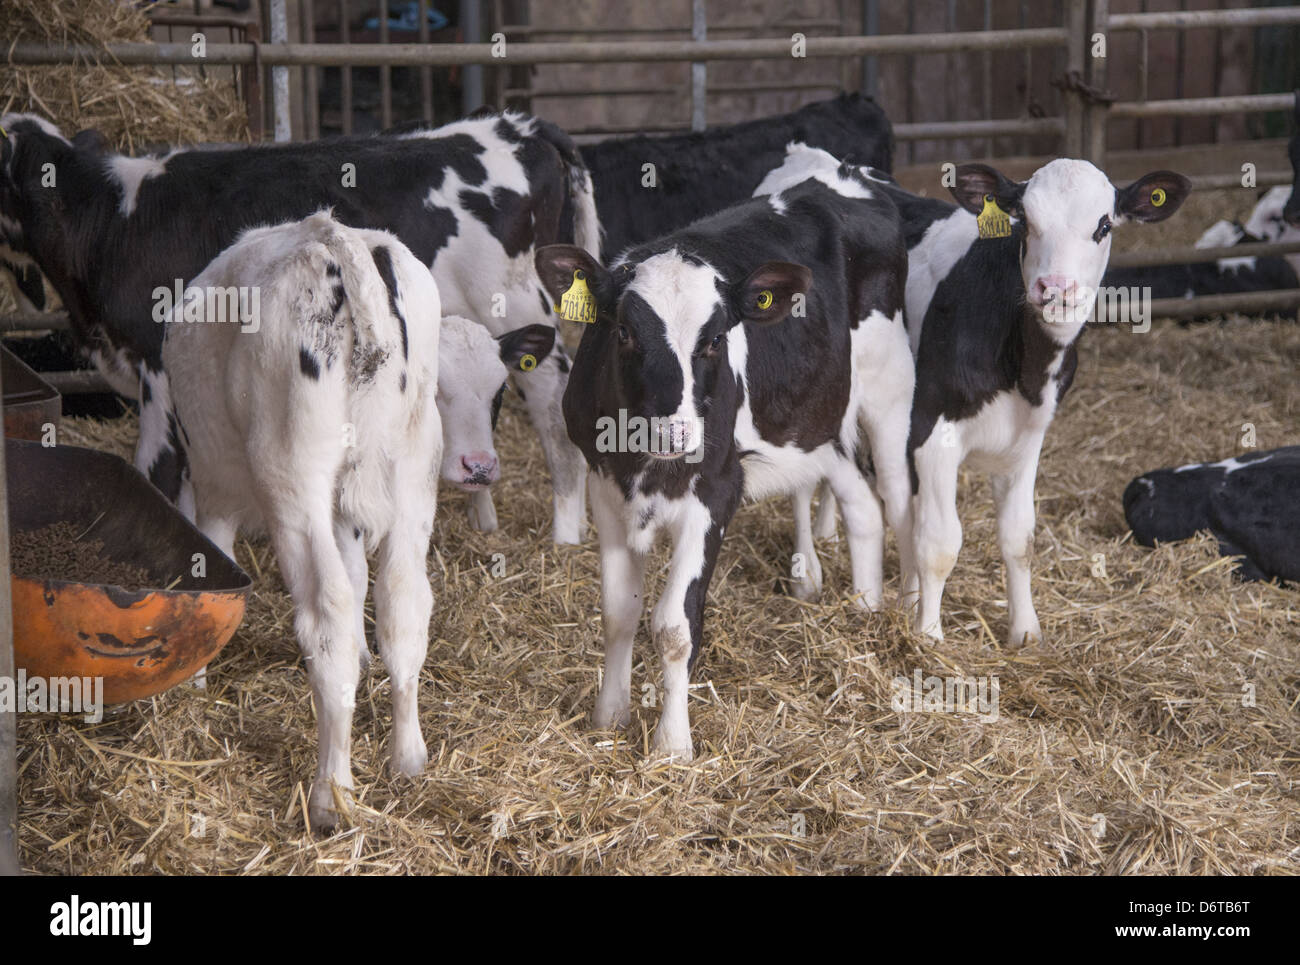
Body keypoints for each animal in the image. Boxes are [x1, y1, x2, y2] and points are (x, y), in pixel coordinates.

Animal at [0, 111, 598, 543]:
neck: (112, 220)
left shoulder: (155, 359)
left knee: (554, 409)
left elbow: (158, 466)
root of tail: (520, 126)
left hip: (518, 304)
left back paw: (567, 533)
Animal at [160, 213, 444, 832]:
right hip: (416, 460)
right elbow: (359, 576)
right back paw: (408, 758)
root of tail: (345, 243)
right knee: (403, 600)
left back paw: (331, 795)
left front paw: (193, 683)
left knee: (327, 610)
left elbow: (211, 571)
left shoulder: (215, 487)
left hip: (289, 470)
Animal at [894, 158, 1190, 645]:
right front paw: (929, 637)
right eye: (1025, 221)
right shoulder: (929, 429)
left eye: (1104, 225)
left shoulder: (1028, 436)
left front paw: (1025, 631)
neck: (1025, 370)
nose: (1055, 287)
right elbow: (938, 542)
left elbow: (1020, 538)